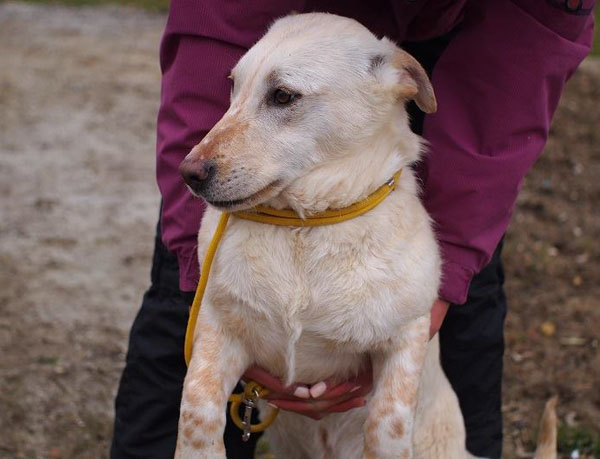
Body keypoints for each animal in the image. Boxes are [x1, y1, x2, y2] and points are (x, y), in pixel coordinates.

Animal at [173, 12, 552, 458]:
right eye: (233, 86)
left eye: (283, 96)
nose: (188, 174)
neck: (307, 226)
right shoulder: (219, 331)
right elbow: (196, 410)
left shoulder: (404, 341)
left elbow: (386, 427)